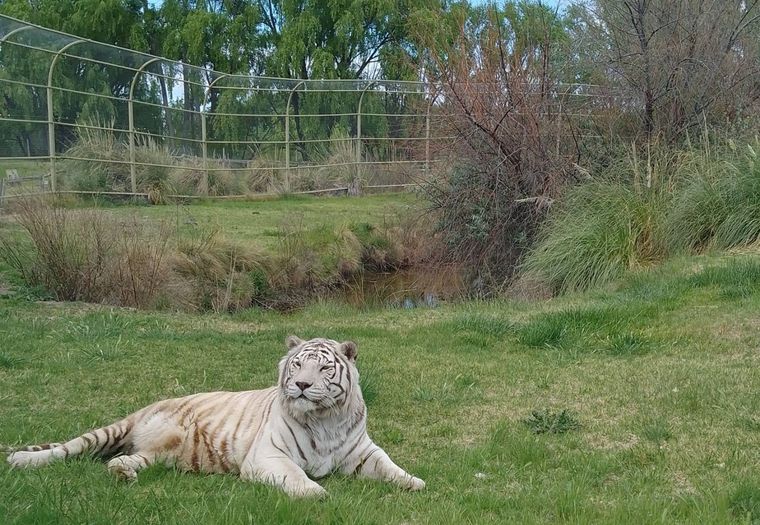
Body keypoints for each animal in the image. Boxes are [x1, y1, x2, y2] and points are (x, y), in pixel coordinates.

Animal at [5, 336, 425, 497]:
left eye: (323, 369)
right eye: (298, 365)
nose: (302, 386)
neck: (325, 418)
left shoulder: (362, 452)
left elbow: (390, 466)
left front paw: (415, 483)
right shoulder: (268, 456)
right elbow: (295, 476)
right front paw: (316, 493)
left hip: (156, 454)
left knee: (126, 460)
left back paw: (123, 472)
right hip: (113, 429)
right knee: (67, 449)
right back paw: (20, 459)